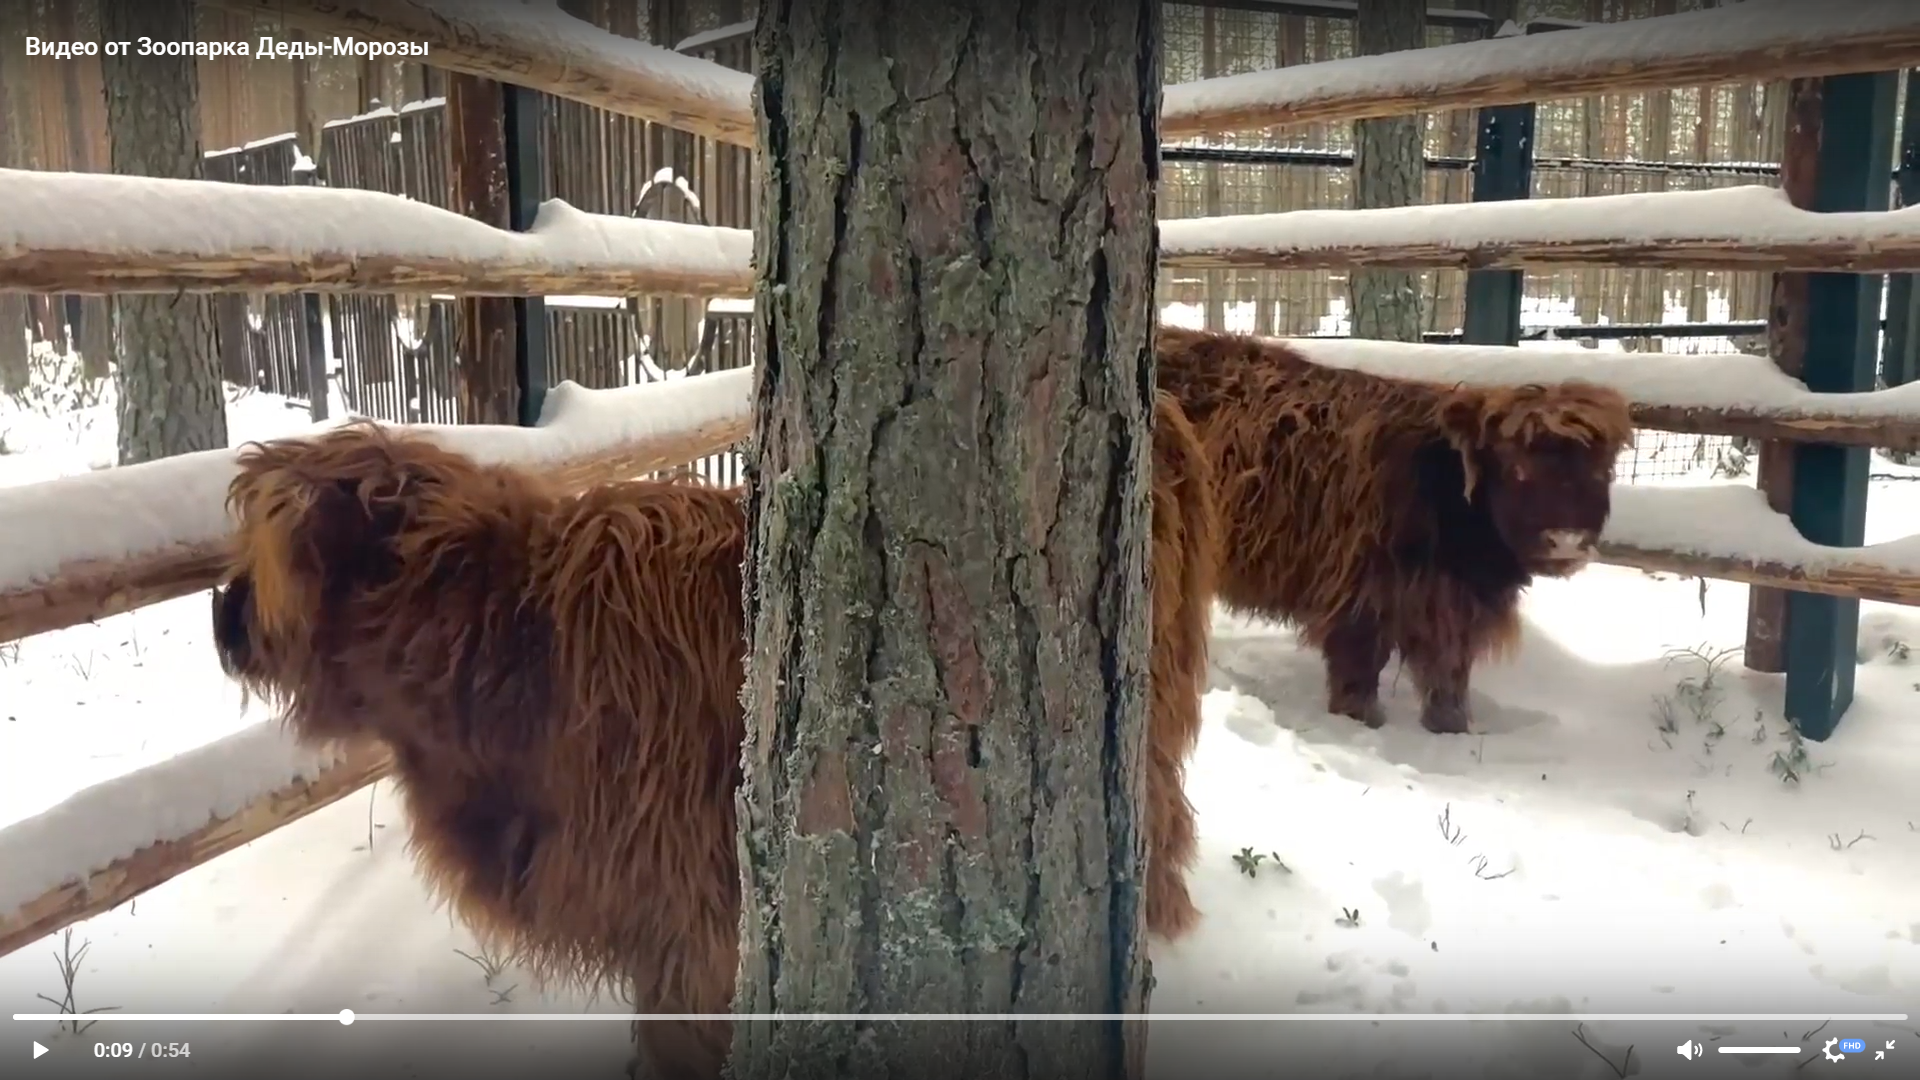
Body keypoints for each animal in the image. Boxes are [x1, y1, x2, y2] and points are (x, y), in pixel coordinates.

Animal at [1152, 320, 1635, 730]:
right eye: (1517, 469)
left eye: (1601, 472)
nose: (1566, 540)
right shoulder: (1361, 599)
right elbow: (1358, 674)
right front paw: (1359, 725)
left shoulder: (1450, 610)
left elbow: (1448, 680)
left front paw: (1450, 731)